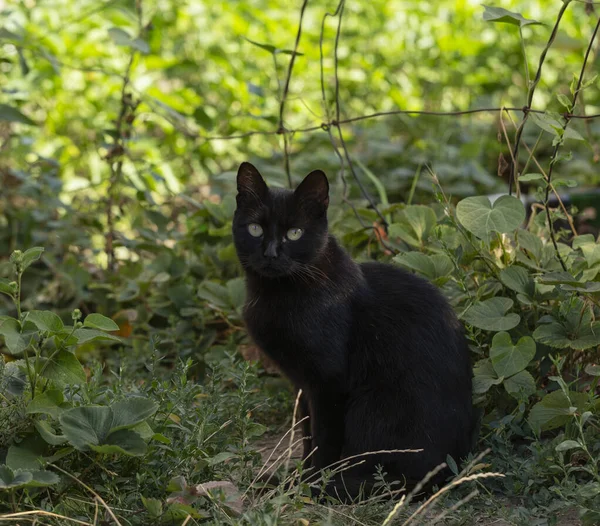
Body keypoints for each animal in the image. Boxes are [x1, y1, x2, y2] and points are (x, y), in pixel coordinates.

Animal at [232, 162, 476, 504]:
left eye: (295, 233)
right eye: (255, 229)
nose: (270, 253)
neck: (277, 294)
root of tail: (449, 468)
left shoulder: (328, 383)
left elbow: (323, 442)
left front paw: (309, 485)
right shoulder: (303, 384)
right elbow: (307, 436)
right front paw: (299, 478)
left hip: (371, 406)